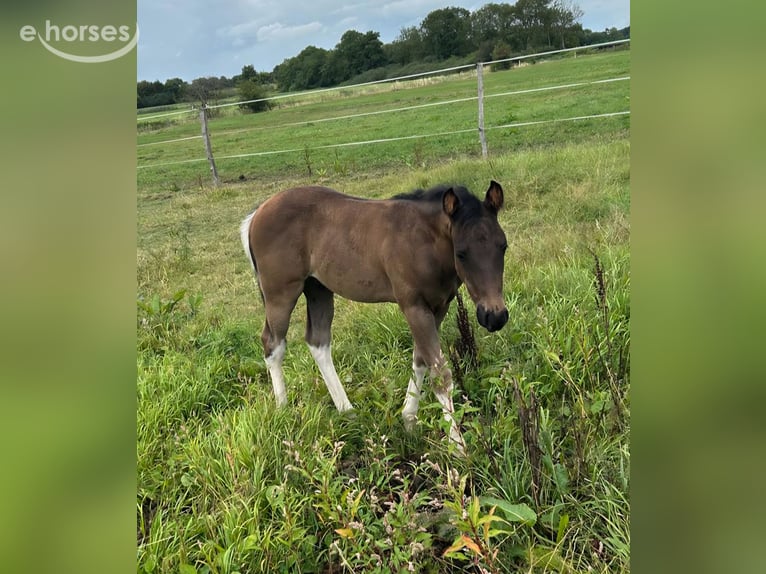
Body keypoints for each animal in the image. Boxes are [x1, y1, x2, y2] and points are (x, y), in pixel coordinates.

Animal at [239, 181, 509, 449]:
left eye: (503, 246)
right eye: (461, 252)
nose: (494, 316)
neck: (424, 241)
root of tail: (256, 215)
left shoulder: (438, 307)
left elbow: (421, 359)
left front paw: (409, 421)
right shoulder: (413, 306)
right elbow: (440, 373)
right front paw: (458, 447)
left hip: (318, 289)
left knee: (318, 342)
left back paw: (348, 412)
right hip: (280, 294)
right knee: (273, 343)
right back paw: (283, 409)